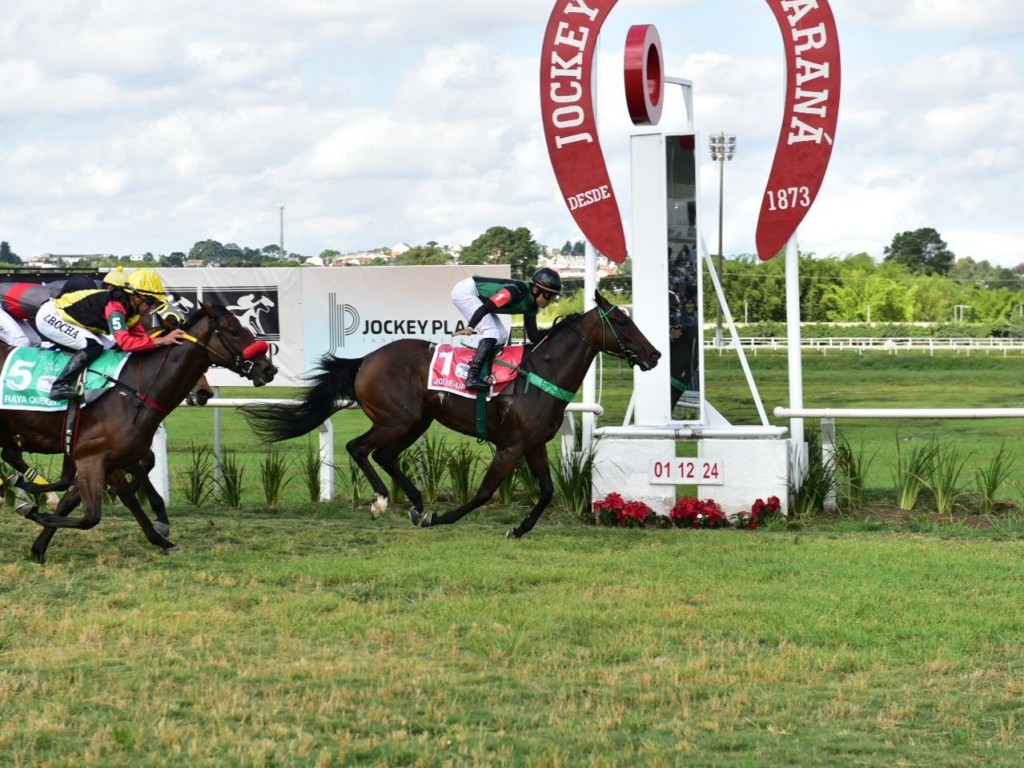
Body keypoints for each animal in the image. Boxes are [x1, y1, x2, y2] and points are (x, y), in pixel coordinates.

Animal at [1, 303, 276, 561]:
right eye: (234, 331)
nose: (268, 369)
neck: (133, 388)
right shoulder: (91, 457)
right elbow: (91, 516)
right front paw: (30, 509)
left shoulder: (108, 461)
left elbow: (99, 501)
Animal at [245, 290, 663, 536]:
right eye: (622, 321)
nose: (655, 354)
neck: (541, 373)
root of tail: (366, 359)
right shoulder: (510, 447)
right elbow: (483, 492)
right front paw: (440, 517)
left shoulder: (534, 445)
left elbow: (546, 492)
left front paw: (520, 529)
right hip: (398, 418)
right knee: (359, 448)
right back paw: (383, 502)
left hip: (417, 420)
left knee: (384, 455)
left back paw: (414, 504)